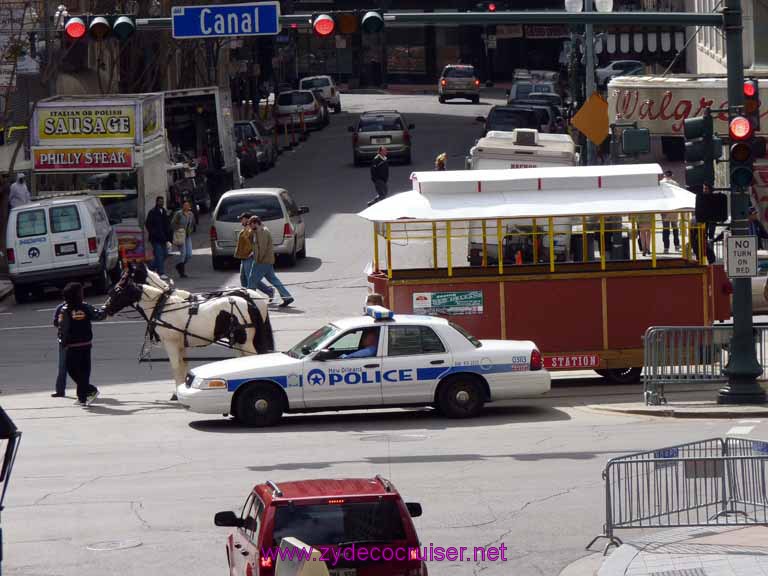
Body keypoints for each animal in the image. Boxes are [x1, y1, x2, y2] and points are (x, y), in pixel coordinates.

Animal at [103, 270, 274, 392]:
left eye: (117, 291)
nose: (103, 310)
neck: (162, 306)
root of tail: (250, 301)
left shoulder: (170, 343)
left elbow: (176, 367)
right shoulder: (180, 344)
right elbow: (183, 366)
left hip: (246, 341)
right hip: (238, 341)